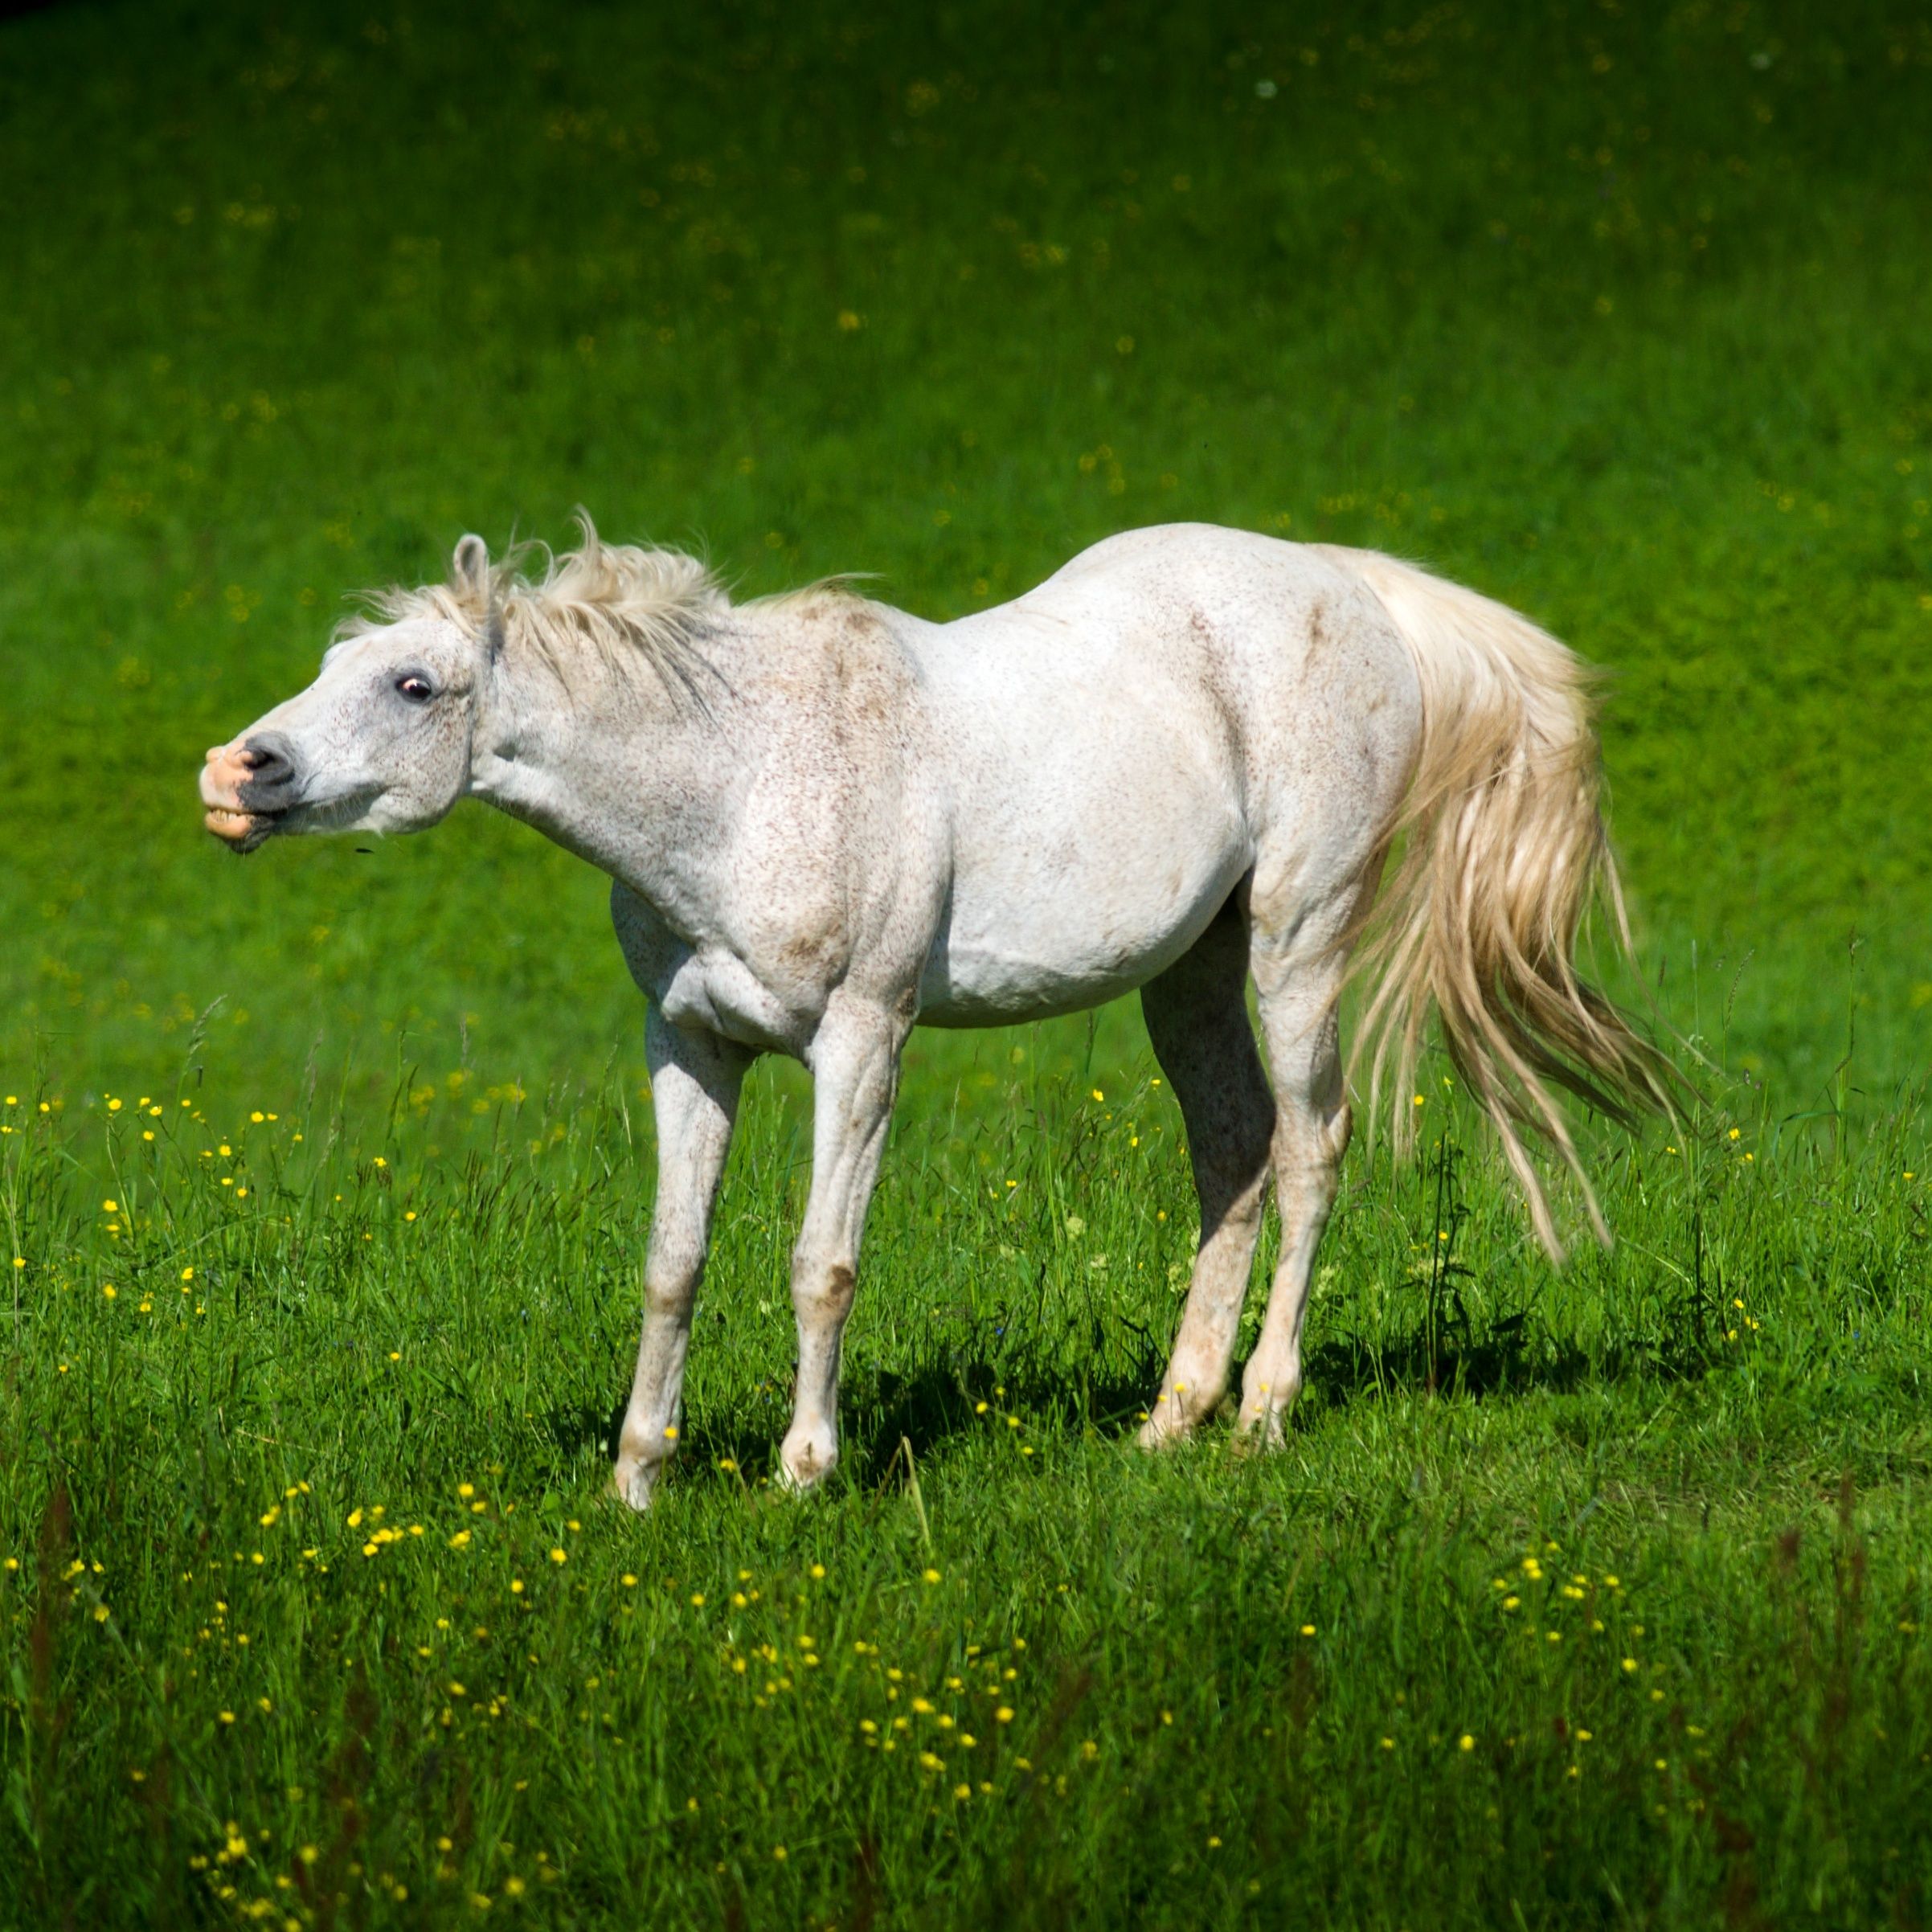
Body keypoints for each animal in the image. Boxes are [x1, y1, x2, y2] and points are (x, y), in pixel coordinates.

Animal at [203, 518, 1669, 1507]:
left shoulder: (862, 1039)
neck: (742, 775)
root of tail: (1345, 583)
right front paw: (636, 1477)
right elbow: (673, 1260)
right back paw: (1168, 1419)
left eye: (412, 685)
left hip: (1295, 945)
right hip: (1187, 974)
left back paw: (1258, 1415)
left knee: (1311, 1152)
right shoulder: (690, 1047)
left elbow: (821, 1259)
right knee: (1233, 1152)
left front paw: (803, 1469)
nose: (238, 772)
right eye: (337, 661)